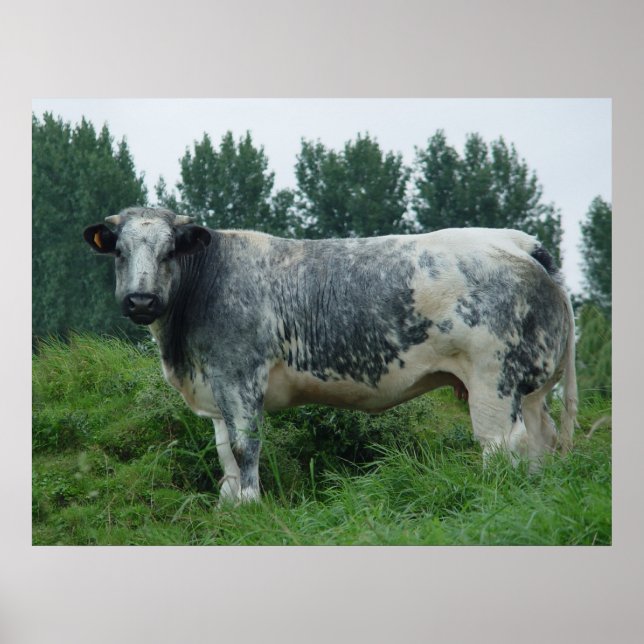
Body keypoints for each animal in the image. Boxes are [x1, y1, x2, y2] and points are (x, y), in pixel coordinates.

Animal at [84, 207, 577, 504]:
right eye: (120, 251)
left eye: (170, 251)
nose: (141, 300)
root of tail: (517, 241)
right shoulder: (217, 388)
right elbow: (225, 451)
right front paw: (228, 503)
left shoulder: (240, 376)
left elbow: (245, 447)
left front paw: (249, 506)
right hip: (531, 388)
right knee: (542, 441)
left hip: (494, 379)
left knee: (503, 445)